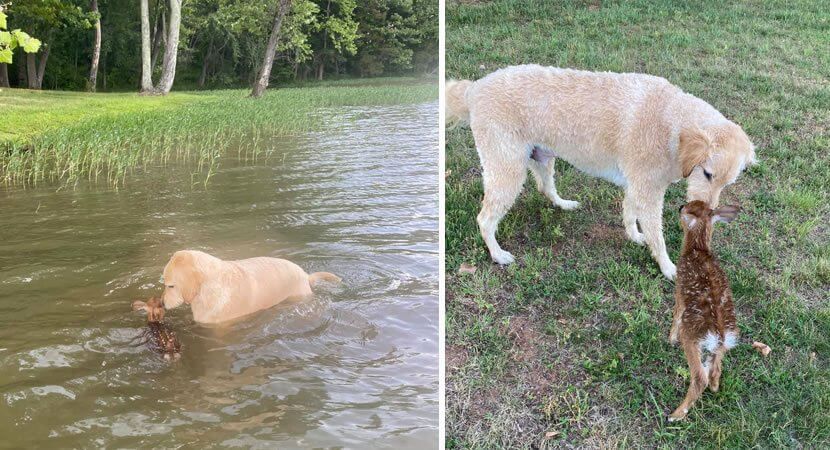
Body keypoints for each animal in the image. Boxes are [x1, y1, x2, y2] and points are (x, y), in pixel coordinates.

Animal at [448, 65, 760, 280]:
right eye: (707, 174)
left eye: (727, 183)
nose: (708, 215)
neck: (673, 122)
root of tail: (474, 88)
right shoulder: (648, 191)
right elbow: (657, 235)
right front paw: (668, 267)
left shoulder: (637, 185)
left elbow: (629, 213)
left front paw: (634, 236)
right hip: (507, 171)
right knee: (485, 219)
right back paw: (497, 254)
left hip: (541, 157)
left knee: (545, 188)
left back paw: (563, 204)